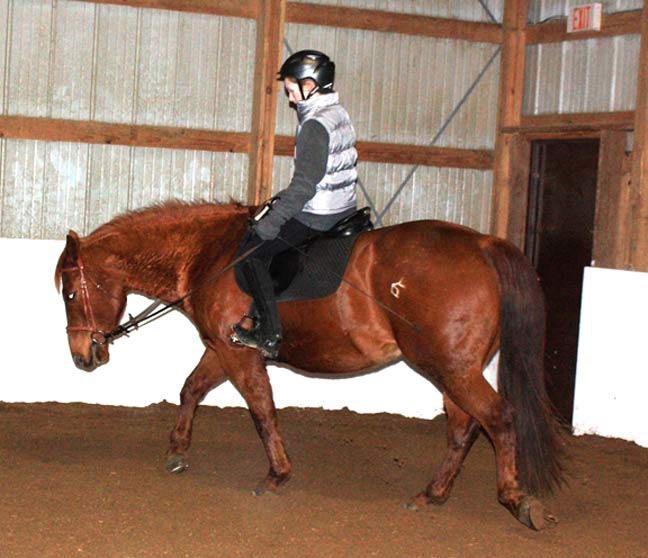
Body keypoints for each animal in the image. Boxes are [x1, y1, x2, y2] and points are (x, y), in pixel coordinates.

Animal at [54, 200, 560, 528]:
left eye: (71, 293)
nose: (82, 356)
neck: (211, 255)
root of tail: (483, 244)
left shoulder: (239, 354)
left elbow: (262, 410)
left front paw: (277, 475)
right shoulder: (221, 348)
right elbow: (191, 388)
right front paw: (177, 450)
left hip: (450, 366)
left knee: (497, 417)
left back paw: (516, 500)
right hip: (454, 367)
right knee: (463, 425)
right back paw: (431, 495)